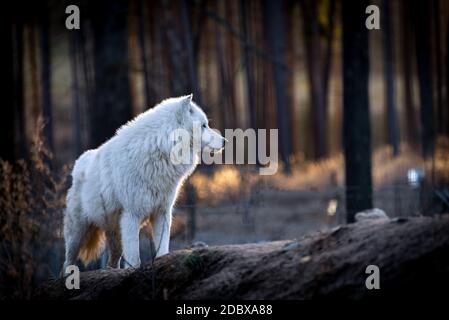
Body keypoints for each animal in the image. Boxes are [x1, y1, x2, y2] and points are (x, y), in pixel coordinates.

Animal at [63, 95, 224, 270]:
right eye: (204, 125)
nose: (225, 141)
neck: (159, 150)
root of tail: (80, 160)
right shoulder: (131, 216)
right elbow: (135, 260)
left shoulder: (162, 213)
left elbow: (163, 250)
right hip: (78, 233)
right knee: (67, 262)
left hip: (115, 237)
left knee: (111, 263)